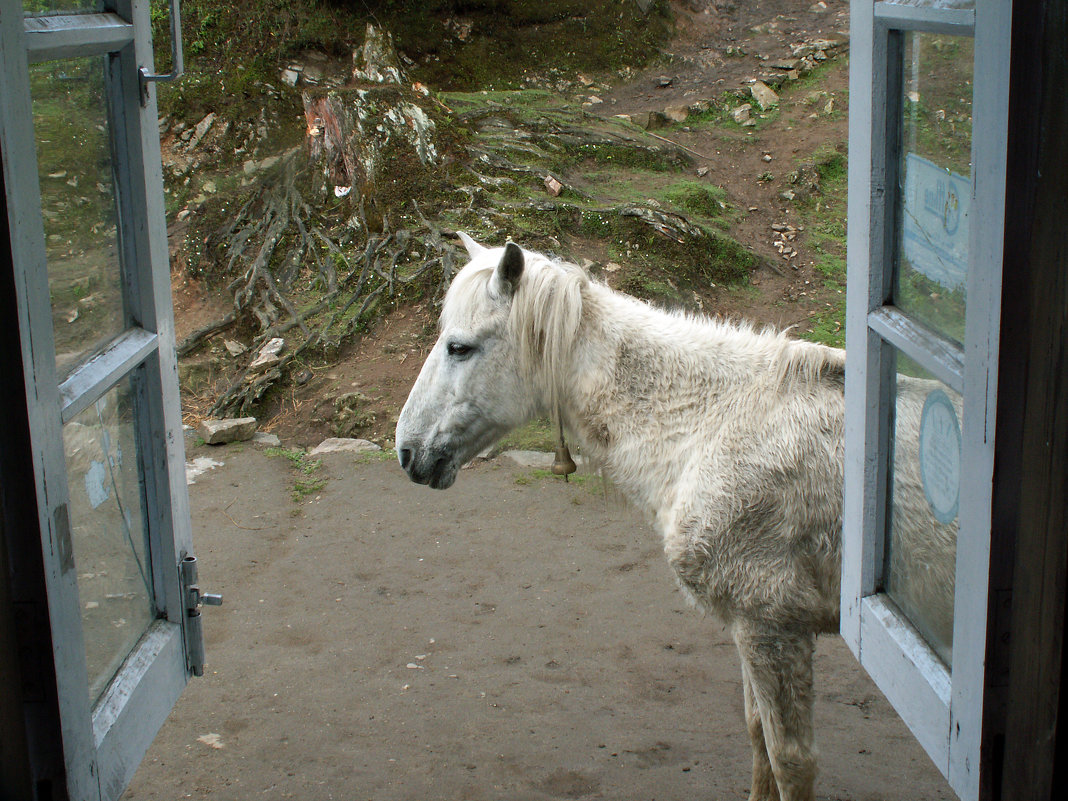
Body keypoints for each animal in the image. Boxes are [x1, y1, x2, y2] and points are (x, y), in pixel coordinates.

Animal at [397, 237, 956, 801]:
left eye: (459, 347)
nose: (406, 452)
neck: (711, 425)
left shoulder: (772, 627)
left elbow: (789, 761)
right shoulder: (748, 629)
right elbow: (757, 736)